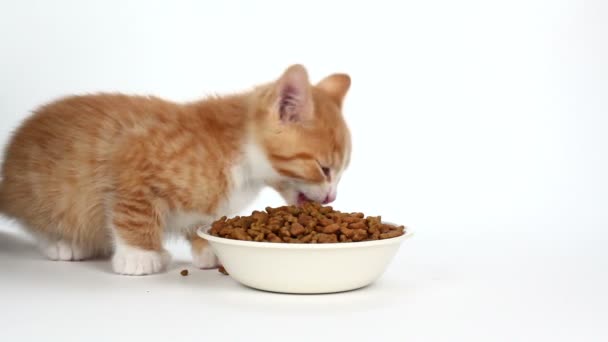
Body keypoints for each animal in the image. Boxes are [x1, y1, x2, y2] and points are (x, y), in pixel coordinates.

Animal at [0, 65, 352, 276]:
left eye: (342, 170)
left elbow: (205, 220)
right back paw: (64, 243)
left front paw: (208, 248)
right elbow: (134, 213)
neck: (239, 153)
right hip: (49, 192)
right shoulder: (132, 160)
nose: (332, 197)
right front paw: (140, 255)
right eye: (324, 168)